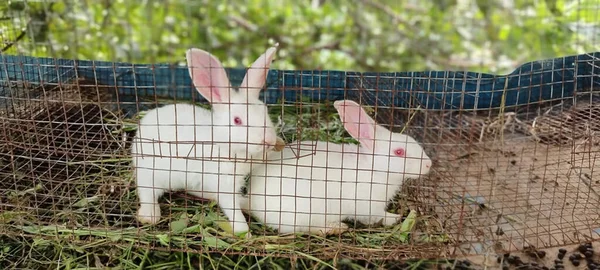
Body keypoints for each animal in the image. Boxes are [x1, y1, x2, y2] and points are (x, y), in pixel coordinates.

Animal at [131, 44, 278, 236]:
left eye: (265, 111)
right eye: (237, 120)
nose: (269, 140)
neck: (225, 145)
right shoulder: (224, 183)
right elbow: (233, 210)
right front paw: (245, 234)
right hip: (150, 171)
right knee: (146, 191)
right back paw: (149, 216)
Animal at [241, 99, 434, 234]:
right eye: (399, 152)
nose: (428, 164)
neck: (375, 170)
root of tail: (252, 198)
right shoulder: (367, 206)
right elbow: (377, 216)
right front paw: (395, 218)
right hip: (303, 213)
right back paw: (334, 228)